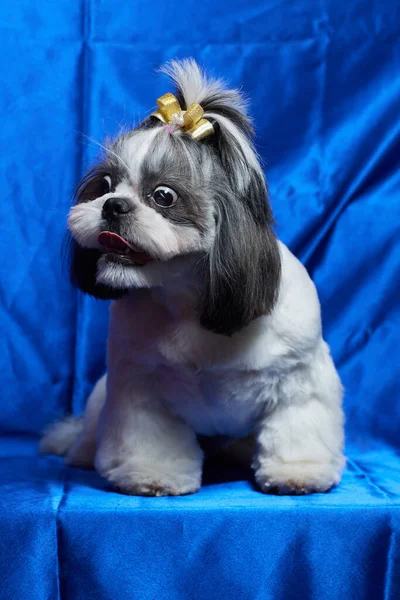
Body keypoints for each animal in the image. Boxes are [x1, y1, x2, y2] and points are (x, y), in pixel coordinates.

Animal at [41, 58, 346, 494]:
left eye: (164, 196)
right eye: (104, 185)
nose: (112, 205)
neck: (190, 299)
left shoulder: (299, 380)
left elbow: (297, 426)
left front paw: (298, 472)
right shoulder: (139, 384)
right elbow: (149, 438)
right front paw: (152, 476)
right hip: (101, 399)